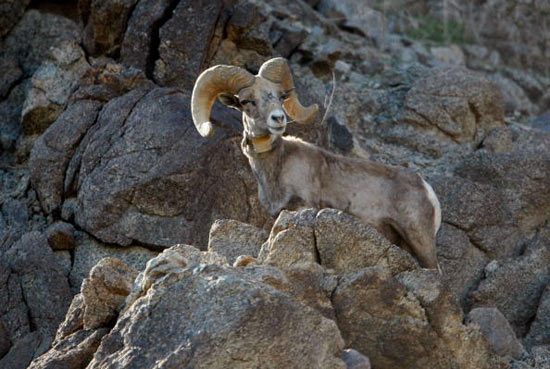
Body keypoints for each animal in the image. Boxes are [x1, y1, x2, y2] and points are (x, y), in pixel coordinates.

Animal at [192, 58, 442, 270]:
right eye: (246, 101)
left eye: (280, 96)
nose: (278, 118)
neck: (277, 168)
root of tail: (426, 189)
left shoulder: (302, 208)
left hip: (418, 238)